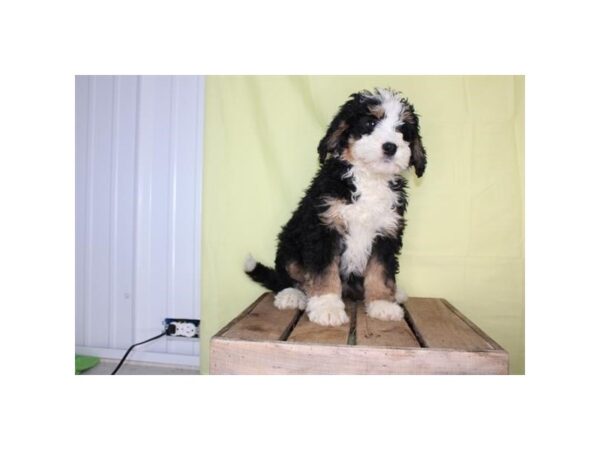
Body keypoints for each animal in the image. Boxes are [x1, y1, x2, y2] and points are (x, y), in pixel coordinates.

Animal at [245, 89, 426, 326]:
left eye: (402, 130)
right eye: (370, 122)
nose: (390, 146)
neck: (369, 179)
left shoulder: (387, 232)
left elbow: (380, 272)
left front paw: (382, 304)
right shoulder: (324, 228)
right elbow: (324, 273)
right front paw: (327, 307)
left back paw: (395, 293)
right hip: (289, 245)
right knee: (286, 277)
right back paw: (292, 295)